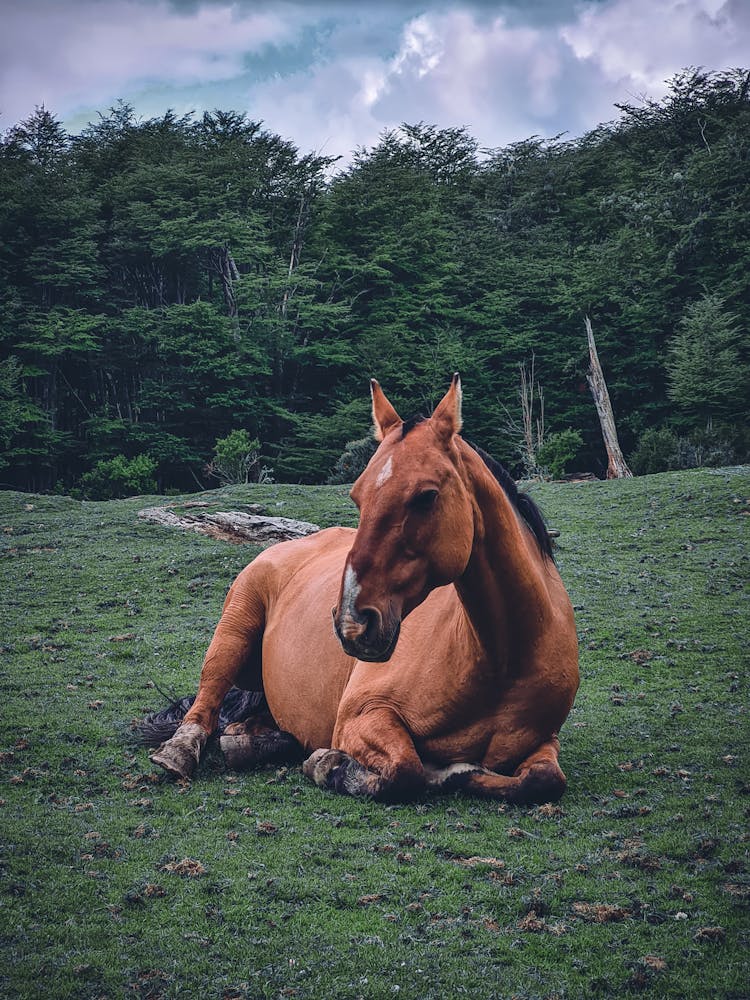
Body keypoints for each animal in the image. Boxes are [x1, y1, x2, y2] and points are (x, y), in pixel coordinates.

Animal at [147, 376, 580, 804]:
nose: (352, 623)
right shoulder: (363, 714)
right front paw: (330, 765)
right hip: (233, 631)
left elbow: (542, 779)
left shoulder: (544, 740)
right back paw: (180, 751)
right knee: (207, 699)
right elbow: (407, 769)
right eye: (357, 495)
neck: (501, 661)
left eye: (426, 496)